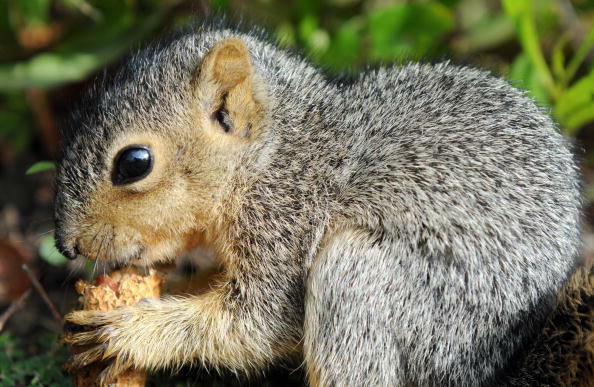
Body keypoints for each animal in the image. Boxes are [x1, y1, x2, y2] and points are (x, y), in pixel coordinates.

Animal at [54, 22, 588, 386]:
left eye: (134, 163)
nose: (65, 246)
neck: (270, 156)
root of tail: (488, 368)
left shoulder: (286, 224)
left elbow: (253, 326)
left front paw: (129, 332)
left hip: (393, 297)